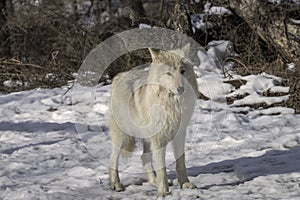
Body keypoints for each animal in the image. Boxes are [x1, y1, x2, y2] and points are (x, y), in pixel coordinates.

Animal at [109, 43, 198, 197]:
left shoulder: (180, 134)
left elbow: (181, 163)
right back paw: (116, 185)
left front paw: (185, 183)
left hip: (146, 137)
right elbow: (162, 168)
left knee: (143, 157)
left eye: (182, 71)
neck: (173, 104)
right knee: (113, 158)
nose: (180, 89)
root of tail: (119, 76)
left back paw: (154, 182)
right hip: (123, 136)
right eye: (168, 73)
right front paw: (163, 192)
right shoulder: (159, 138)